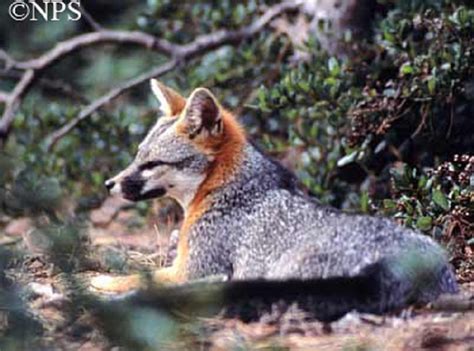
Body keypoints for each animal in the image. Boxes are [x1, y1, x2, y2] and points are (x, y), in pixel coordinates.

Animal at [90, 81, 458, 324]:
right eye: (138, 156)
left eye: (152, 164)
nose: (109, 184)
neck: (228, 188)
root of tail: (408, 261)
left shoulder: (193, 269)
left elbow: (135, 276)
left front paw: (97, 281)